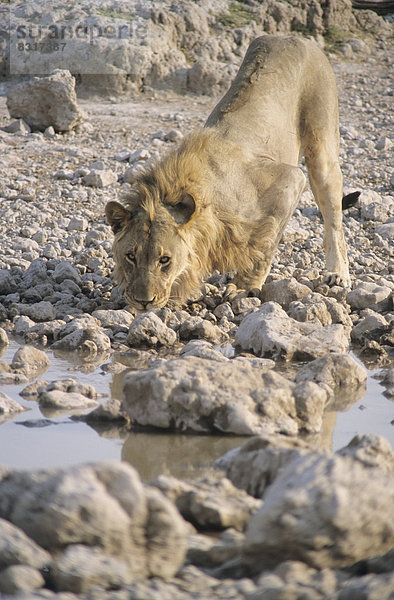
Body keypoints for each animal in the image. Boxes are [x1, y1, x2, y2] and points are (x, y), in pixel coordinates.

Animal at [106, 35, 352, 312]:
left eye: (165, 260)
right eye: (130, 256)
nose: (143, 302)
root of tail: (294, 37)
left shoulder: (289, 180)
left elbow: (264, 245)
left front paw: (244, 287)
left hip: (321, 147)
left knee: (334, 219)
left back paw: (338, 273)